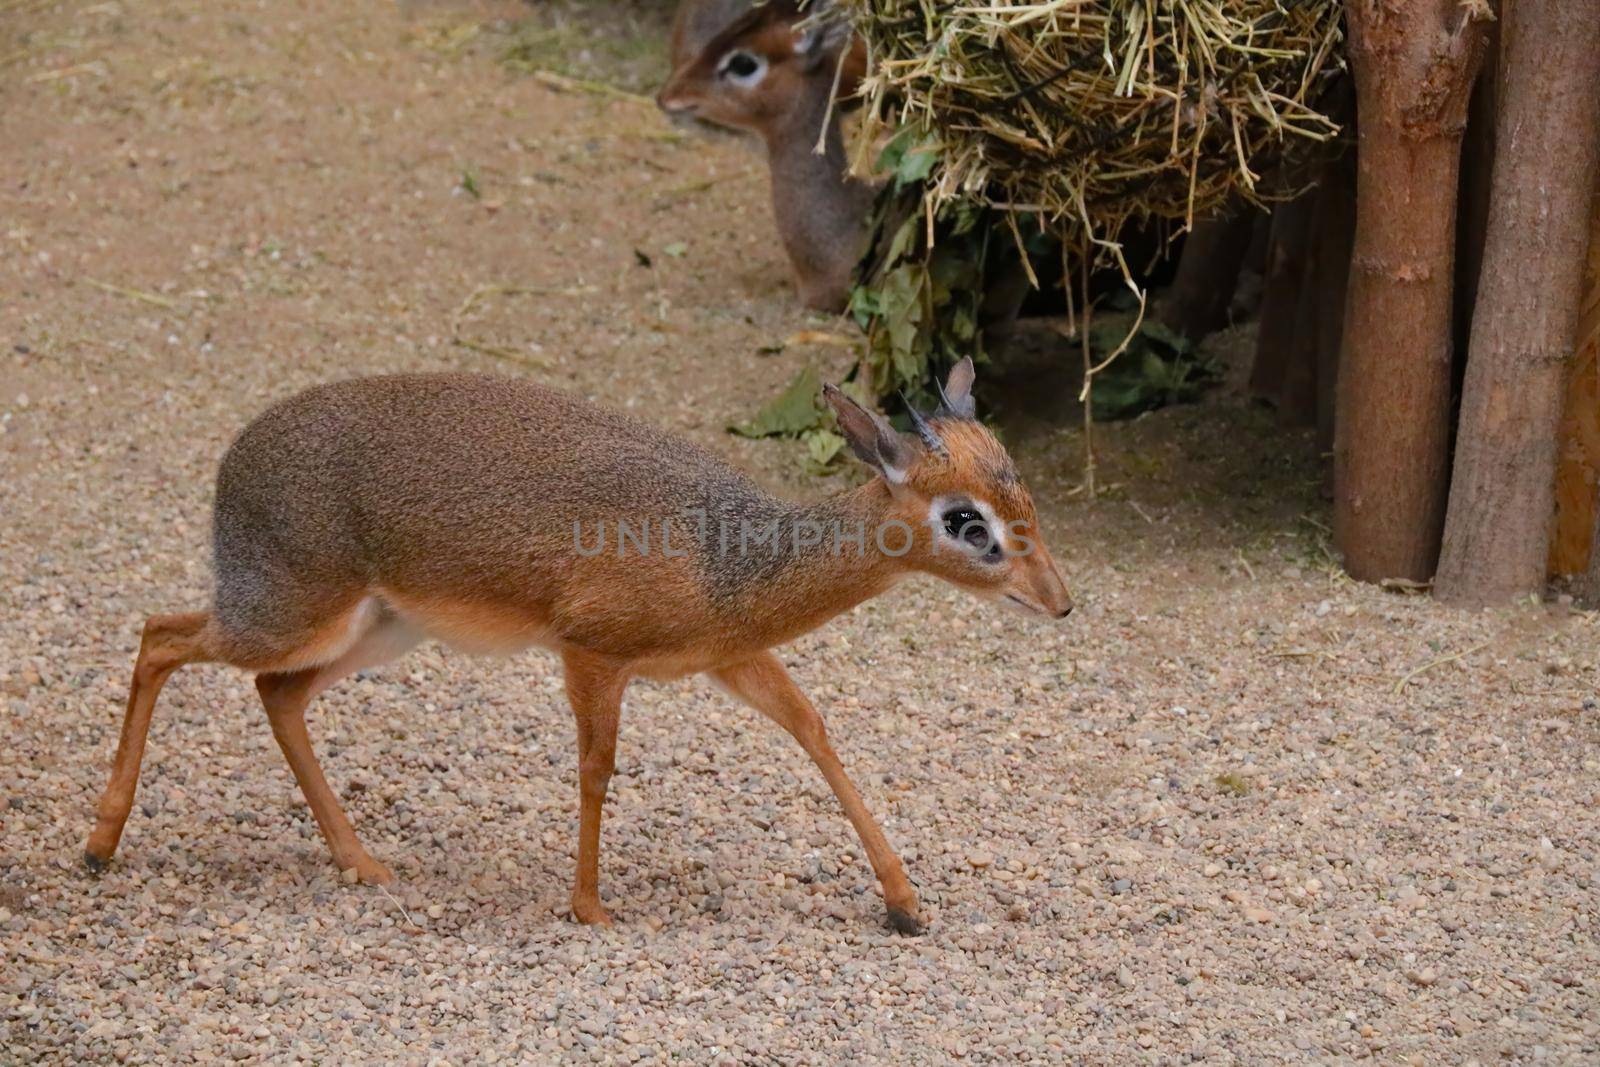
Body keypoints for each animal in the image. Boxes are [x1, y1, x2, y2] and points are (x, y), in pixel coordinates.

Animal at [84, 363, 1062, 927]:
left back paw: (360, 861)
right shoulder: (592, 654)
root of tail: (234, 457)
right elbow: (596, 768)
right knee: (159, 637)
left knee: (273, 693)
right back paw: (100, 842)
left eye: (1022, 490)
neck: (728, 561)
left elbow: (817, 731)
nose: (1058, 600)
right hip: (291, 613)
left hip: (378, 630)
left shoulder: (730, 658)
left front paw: (905, 902)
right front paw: (590, 905)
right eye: (965, 520)